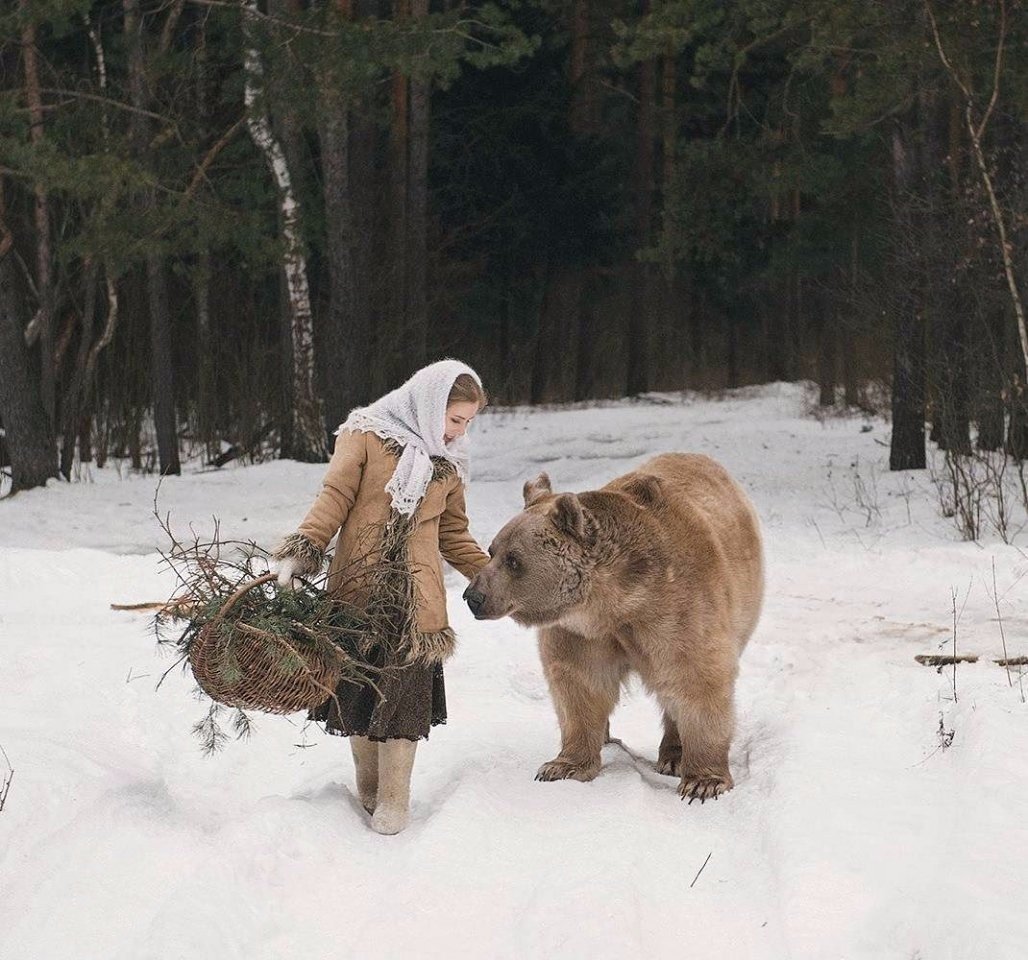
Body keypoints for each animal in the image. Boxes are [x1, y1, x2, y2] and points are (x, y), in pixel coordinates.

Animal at [466, 454, 764, 801]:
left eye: (514, 560)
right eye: (492, 550)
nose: (473, 596)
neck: (615, 603)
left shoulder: (678, 611)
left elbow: (696, 679)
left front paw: (703, 781)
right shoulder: (580, 633)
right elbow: (579, 686)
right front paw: (562, 766)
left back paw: (674, 755)